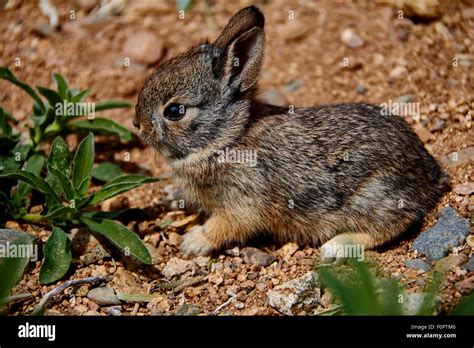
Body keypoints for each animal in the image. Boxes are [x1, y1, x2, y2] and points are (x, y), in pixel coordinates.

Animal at [135, 6, 450, 260]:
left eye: (175, 111)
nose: (138, 124)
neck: (226, 139)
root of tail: (430, 177)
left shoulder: (242, 203)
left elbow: (223, 226)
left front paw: (192, 242)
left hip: (372, 196)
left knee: (396, 222)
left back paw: (336, 246)